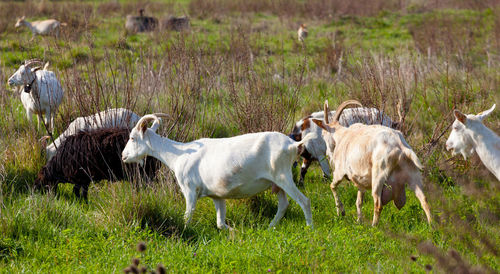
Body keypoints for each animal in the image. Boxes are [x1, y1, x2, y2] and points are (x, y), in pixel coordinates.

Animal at [121, 113, 312, 229]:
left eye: (133, 138)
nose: (123, 156)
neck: (179, 155)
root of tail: (293, 144)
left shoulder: (190, 191)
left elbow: (187, 217)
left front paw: (184, 231)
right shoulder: (217, 195)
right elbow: (220, 223)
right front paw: (235, 233)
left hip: (283, 177)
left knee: (304, 201)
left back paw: (310, 228)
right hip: (277, 183)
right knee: (283, 205)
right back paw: (270, 227)